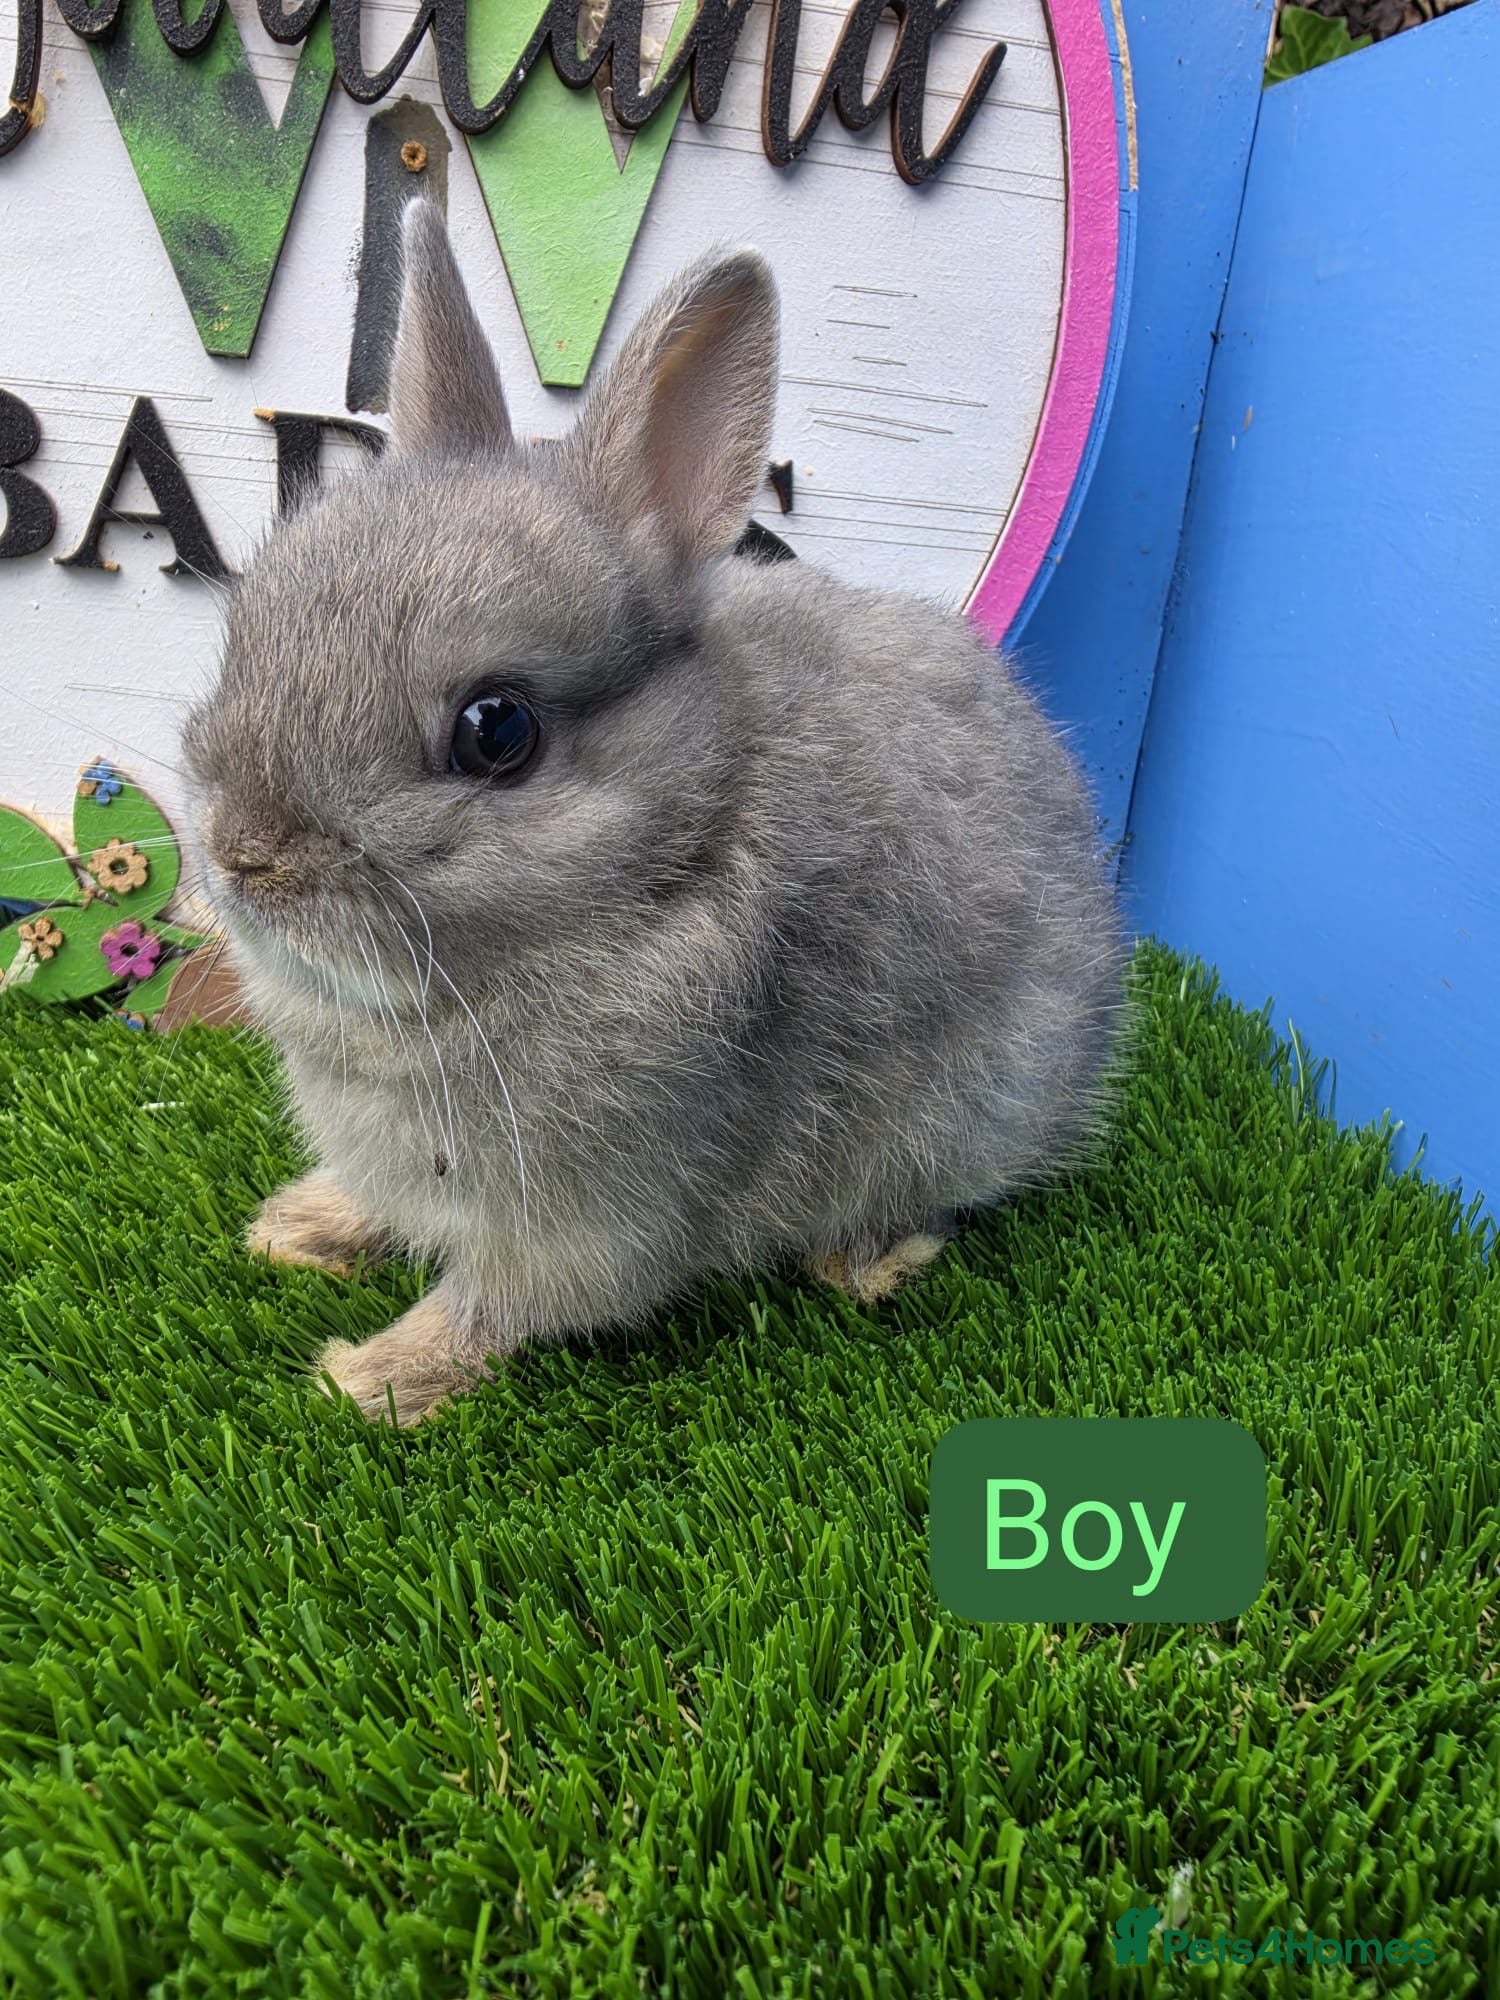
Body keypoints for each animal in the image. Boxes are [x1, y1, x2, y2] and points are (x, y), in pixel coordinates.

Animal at [181, 202, 1128, 1426]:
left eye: (497, 729)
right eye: (250, 625)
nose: (243, 855)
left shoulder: (584, 1220)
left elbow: (490, 1305)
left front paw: (373, 1377)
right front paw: (300, 1227)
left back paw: (866, 1261)